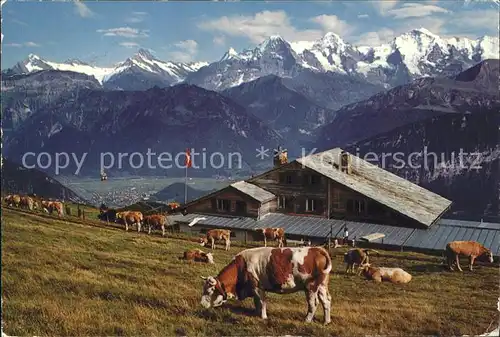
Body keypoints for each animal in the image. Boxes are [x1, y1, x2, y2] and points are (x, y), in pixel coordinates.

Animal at [199, 245, 332, 324]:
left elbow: (262, 302)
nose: (202, 304)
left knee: (313, 304)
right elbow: (257, 302)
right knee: (326, 301)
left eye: (209, 291)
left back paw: (307, 320)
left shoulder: (257, 287)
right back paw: (326, 321)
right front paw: (256, 313)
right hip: (322, 286)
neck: (241, 267)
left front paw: (263, 317)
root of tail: (317, 249)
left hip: (311, 287)